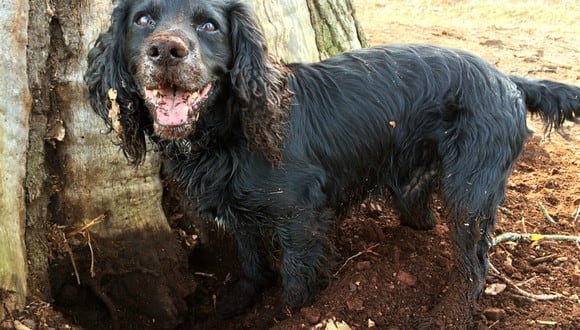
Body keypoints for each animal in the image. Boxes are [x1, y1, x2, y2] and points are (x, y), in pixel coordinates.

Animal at [86, 0, 580, 326]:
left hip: (471, 193)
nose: (166, 50)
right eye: (143, 19)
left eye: (208, 25)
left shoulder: (300, 215)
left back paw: (450, 313)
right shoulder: (238, 210)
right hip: (415, 179)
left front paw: (286, 314)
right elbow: (250, 261)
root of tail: (508, 78)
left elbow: (296, 276)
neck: (230, 129)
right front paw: (238, 302)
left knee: (475, 265)